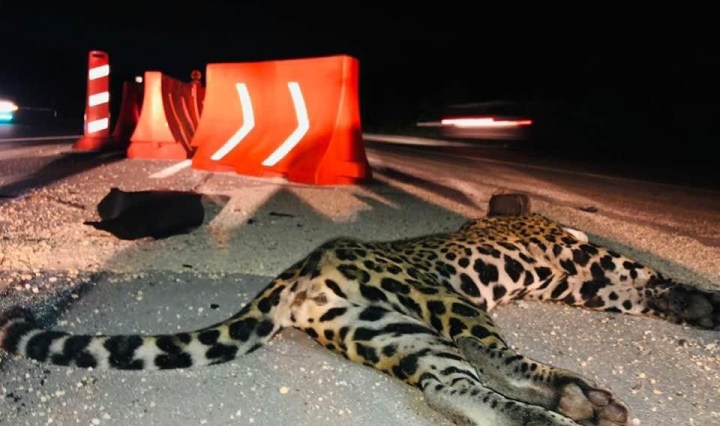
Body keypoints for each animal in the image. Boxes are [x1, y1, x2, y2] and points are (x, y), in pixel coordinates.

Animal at [1, 194, 718, 426]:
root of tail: (298, 273)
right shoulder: (593, 263)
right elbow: (650, 279)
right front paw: (705, 303)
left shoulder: (590, 276)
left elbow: (647, 289)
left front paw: (692, 305)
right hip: (441, 301)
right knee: (493, 356)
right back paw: (570, 402)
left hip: (389, 331)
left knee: (448, 387)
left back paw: (550, 413)